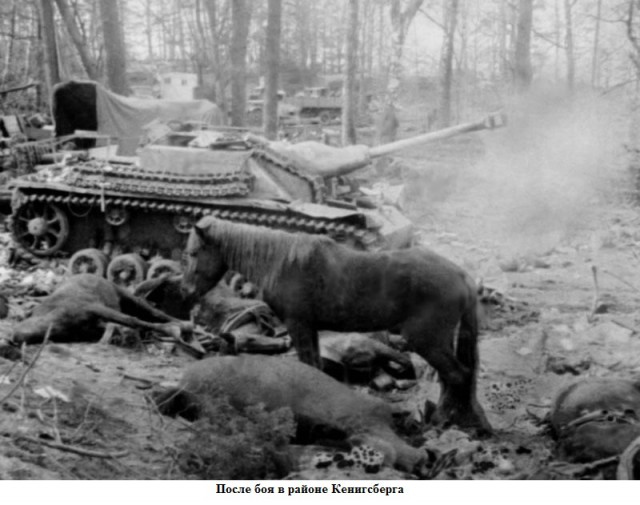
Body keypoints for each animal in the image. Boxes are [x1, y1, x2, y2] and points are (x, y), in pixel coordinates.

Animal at [182, 215, 492, 432]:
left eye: (194, 253)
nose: (186, 291)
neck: (282, 263)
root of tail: (461, 275)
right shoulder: (309, 329)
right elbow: (316, 367)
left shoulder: (299, 325)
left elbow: (308, 366)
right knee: (451, 376)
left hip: (426, 340)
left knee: (457, 375)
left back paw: (440, 420)